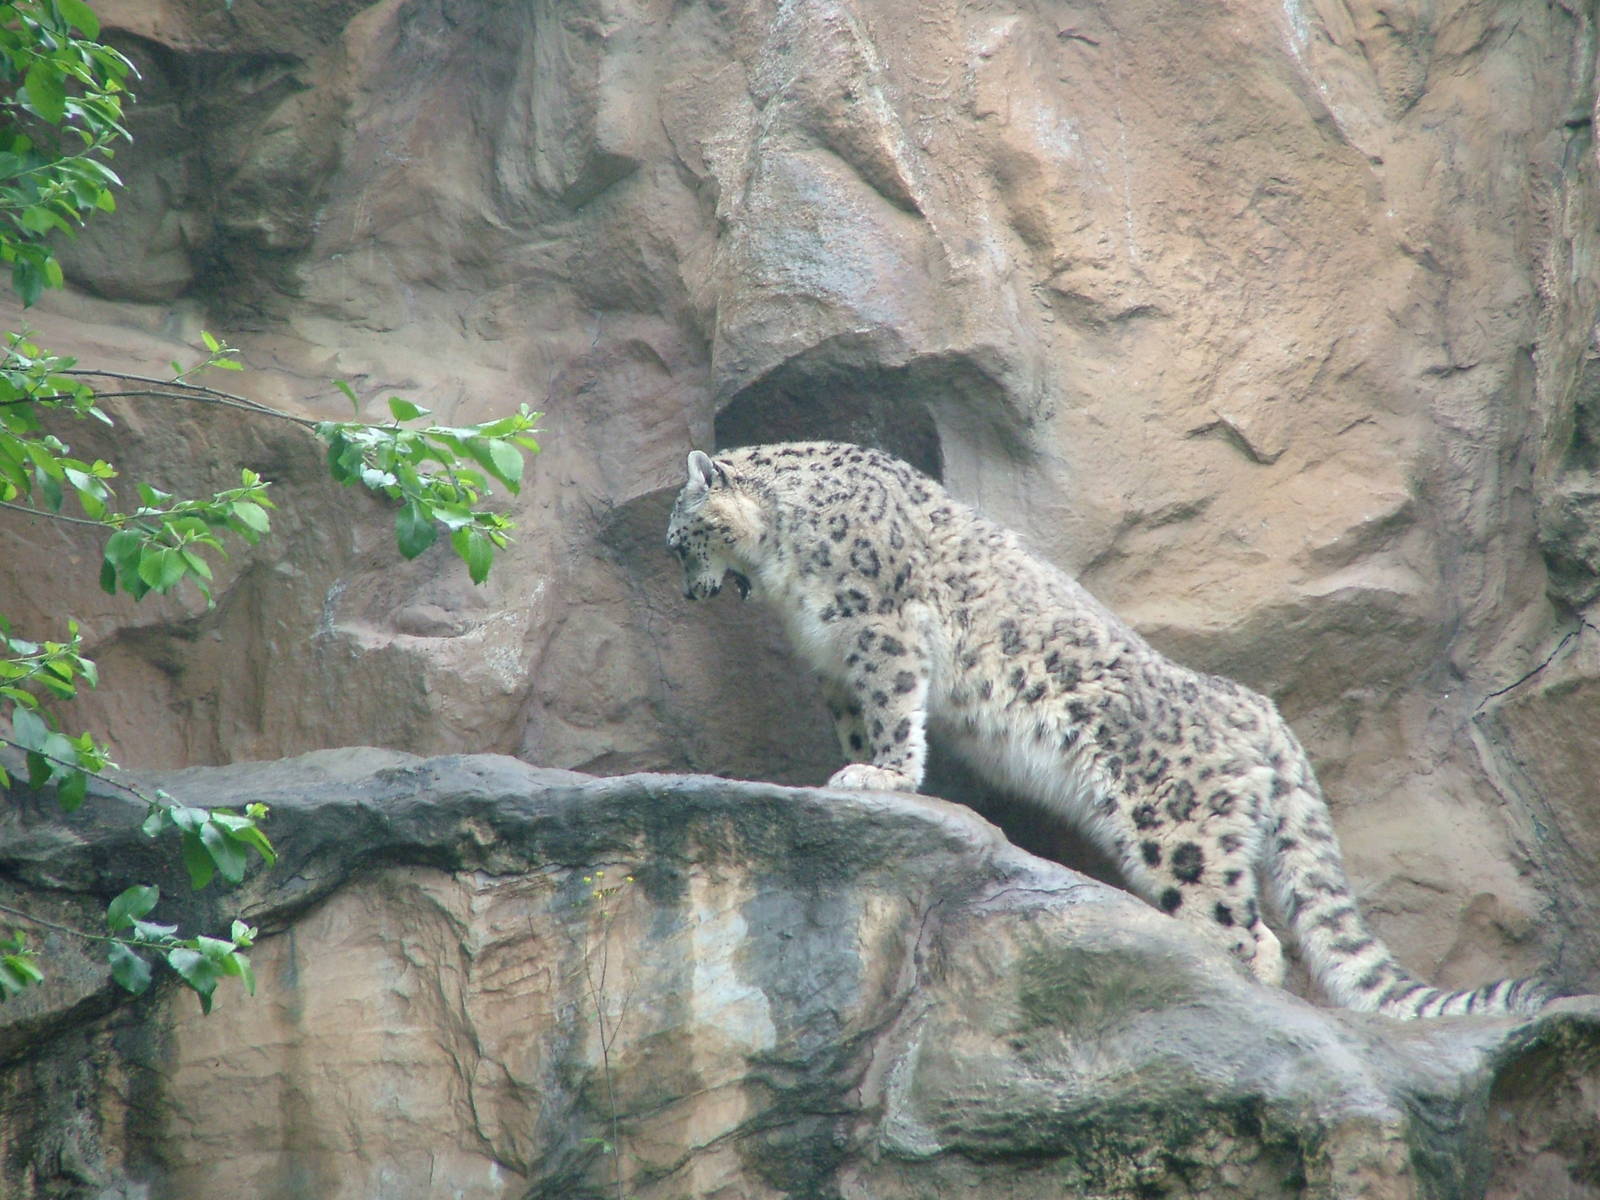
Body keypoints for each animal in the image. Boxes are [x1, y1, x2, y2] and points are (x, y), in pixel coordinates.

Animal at [665, 440, 1554, 1019]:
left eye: (679, 540)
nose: (688, 594)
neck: (787, 571)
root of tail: (1257, 705)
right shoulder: (834, 662)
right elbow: (859, 716)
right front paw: (852, 771)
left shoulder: (879, 627)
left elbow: (893, 707)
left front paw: (879, 775)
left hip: (1180, 829)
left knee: (1240, 927)